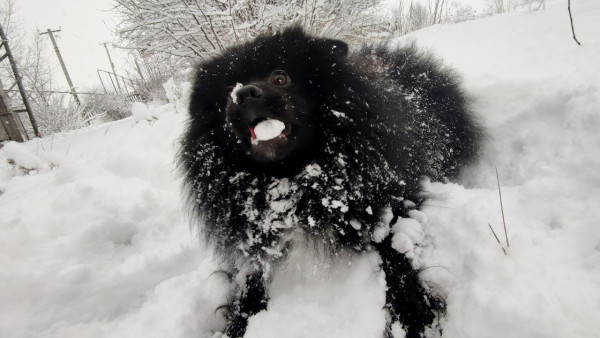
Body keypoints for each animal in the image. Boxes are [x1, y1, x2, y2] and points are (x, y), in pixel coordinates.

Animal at [179, 27, 482, 338]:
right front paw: (239, 323)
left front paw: (415, 316)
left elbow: (395, 256)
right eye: (227, 91)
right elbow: (251, 282)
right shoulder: (258, 237)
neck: (290, 178)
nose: (244, 93)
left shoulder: (388, 203)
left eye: (280, 77)